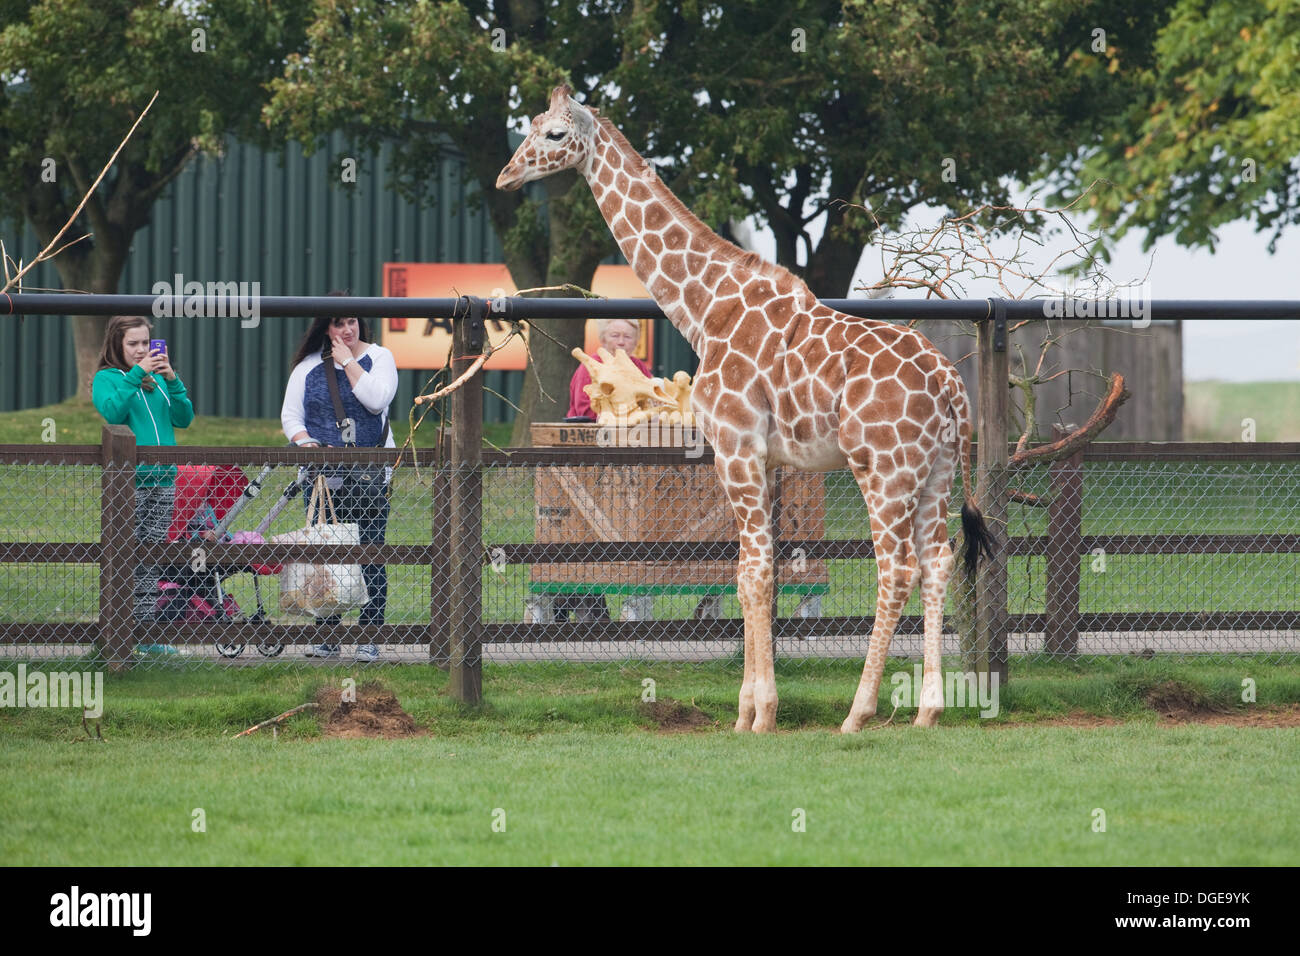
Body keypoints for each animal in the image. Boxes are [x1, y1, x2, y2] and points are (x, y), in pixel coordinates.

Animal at [496, 89, 993, 733]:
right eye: (530, 124)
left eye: (555, 134)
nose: (506, 176)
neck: (707, 310)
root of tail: (951, 385)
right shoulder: (766, 458)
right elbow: (760, 571)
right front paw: (752, 710)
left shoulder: (734, 448)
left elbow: (751, 574)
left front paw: (756, 715)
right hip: (936, 471)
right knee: (936, 561)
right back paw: (927, 711)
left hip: (884, 468)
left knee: (897, 567)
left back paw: (857, 713)